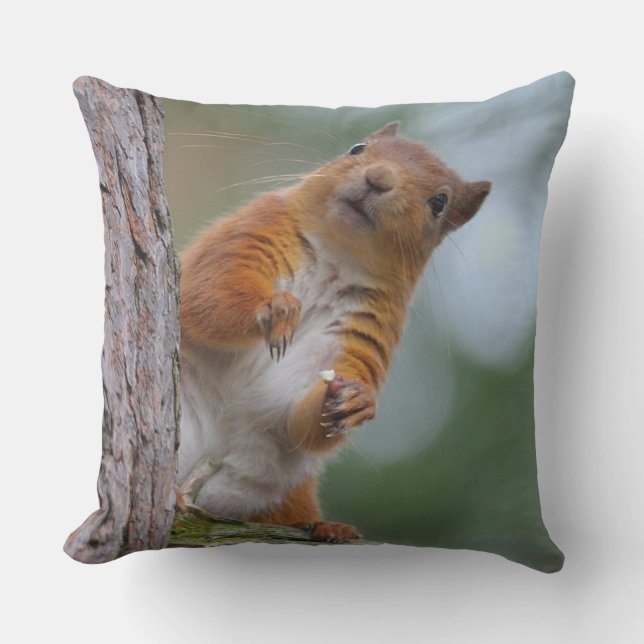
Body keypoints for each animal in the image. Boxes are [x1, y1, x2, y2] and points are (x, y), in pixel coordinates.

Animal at [177, 122, 491, 542]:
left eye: (439, 202)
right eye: (357, 148)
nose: (378, 179)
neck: (339, 256)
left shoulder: (360, 331)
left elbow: (294, 415)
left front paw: (355, 401)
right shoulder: (248, 236)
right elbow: (207, 294)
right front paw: (273, 308)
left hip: (278, 491)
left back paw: (328, 526)